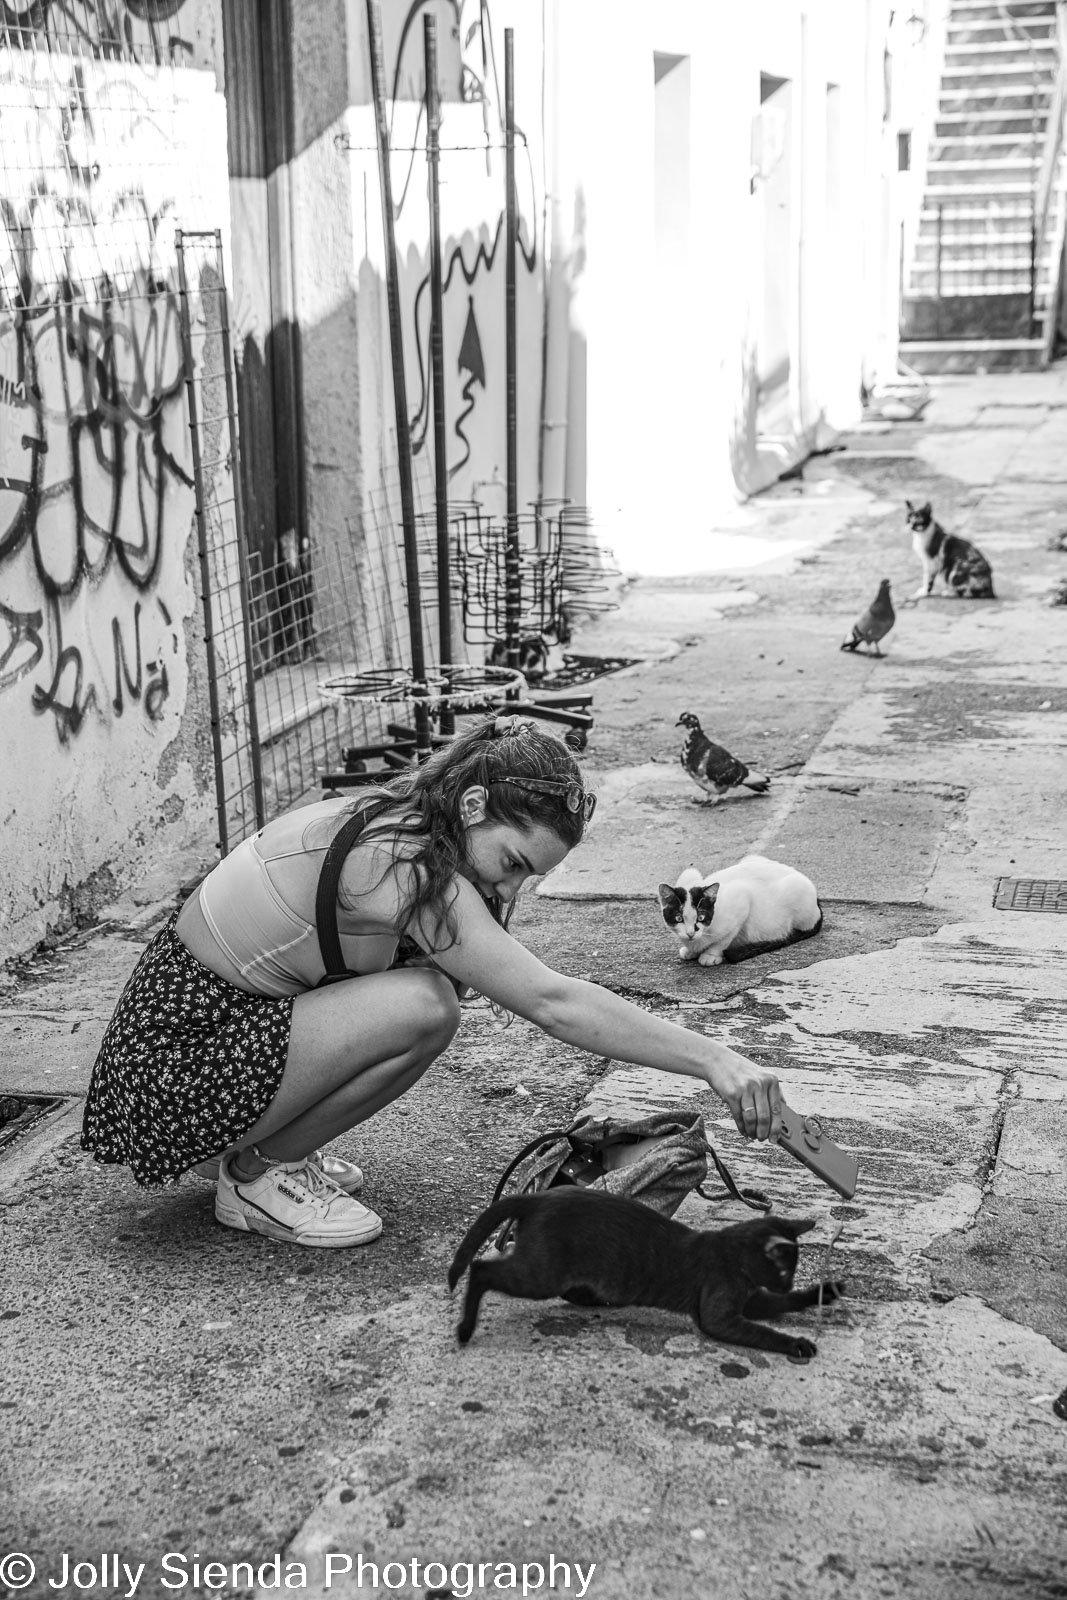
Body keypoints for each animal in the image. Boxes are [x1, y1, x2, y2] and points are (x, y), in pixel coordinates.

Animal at [447, 1190, 844, 1363]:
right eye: (785, 1269)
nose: (788, 1281)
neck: (733, 1256)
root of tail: (538, 1197)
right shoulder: (720, 1314)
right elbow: (764, 1332)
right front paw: (797, 1343)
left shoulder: (752, 1299)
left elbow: (783, 1304)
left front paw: (825, 1291)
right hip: (540, 1275)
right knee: (480, 1269)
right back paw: (465, 1329)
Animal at [659, 857, 825, 966]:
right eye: (679, 918)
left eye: (700, 917)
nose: (690, 933)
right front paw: (691, 951)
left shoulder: (743, 900)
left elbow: (724, 940)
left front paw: (710, 955)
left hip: (797, 888)